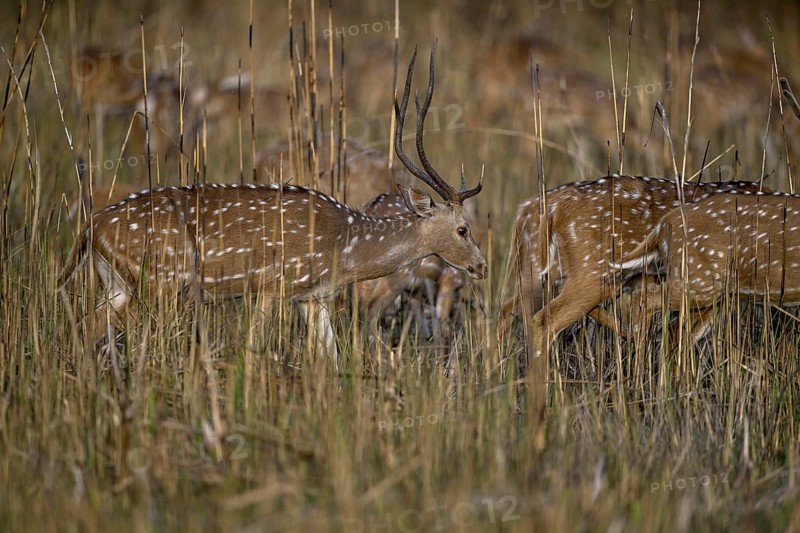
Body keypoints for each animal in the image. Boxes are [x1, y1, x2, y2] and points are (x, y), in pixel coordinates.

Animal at [57, 44, 487, 365]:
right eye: (463, 229)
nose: (481, 266)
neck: (345, 244)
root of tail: (90, 228)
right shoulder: (271, 286)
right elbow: (253, 349)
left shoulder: (313, 297)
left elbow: (331, 358)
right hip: (156, 283)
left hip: (117, 285)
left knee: (82, 328)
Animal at [499, 175, 770, 358]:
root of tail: (537, 207)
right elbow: (680, 336)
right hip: (595, 272)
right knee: (544, 318)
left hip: (542, 268)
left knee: (508, 307)